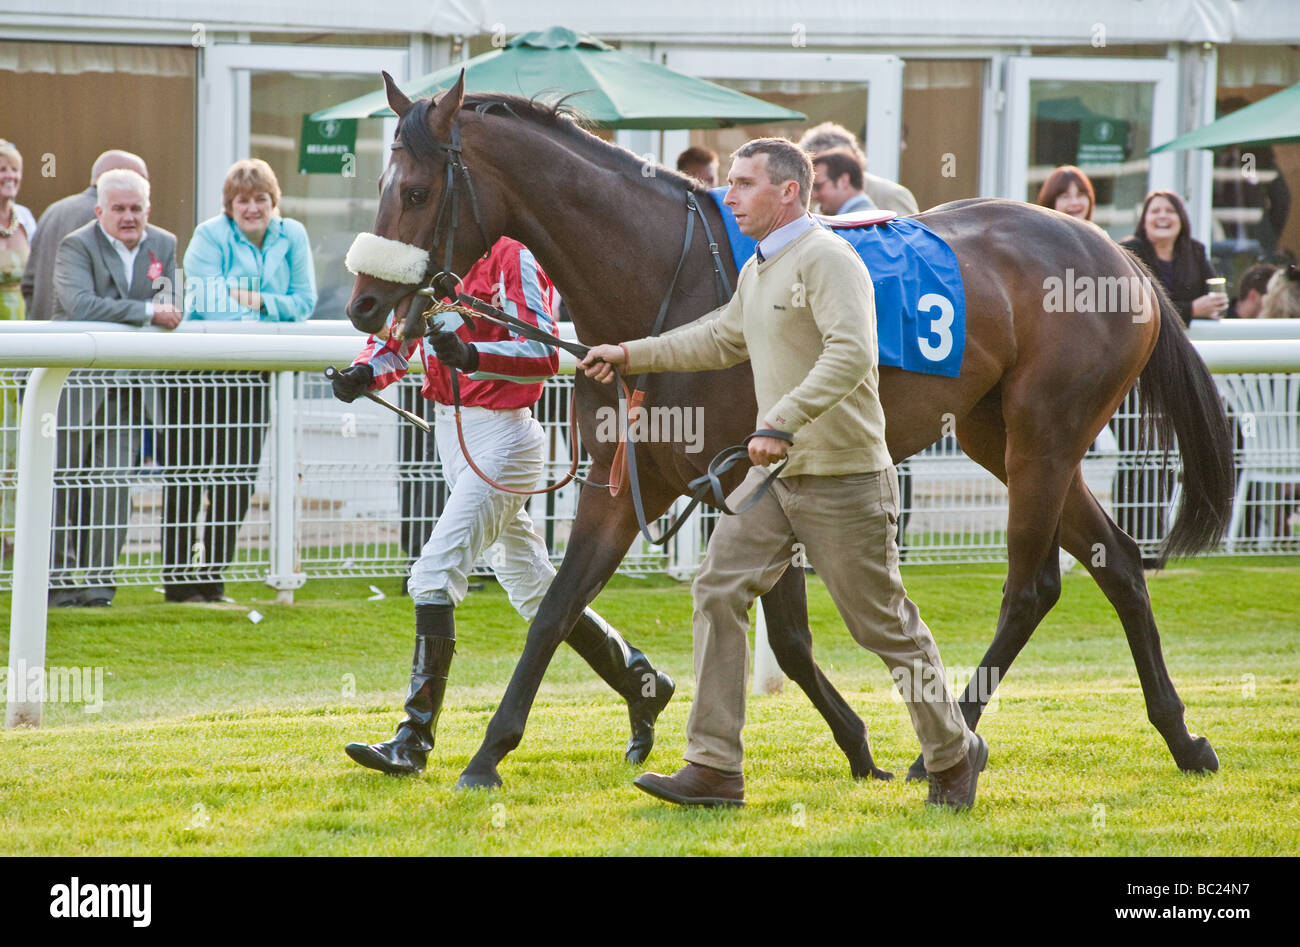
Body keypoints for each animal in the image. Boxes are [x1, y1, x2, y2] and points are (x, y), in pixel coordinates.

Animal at [346, 71, 1233, 791]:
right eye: (380, 183)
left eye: (416, 191)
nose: (361, 302)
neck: (661, 281)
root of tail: (1120, 256)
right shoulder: (622, 484)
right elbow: (559, 609)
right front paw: (485, 753)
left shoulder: (751, 474)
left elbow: (790, 634)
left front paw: (864, 747)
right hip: (1000, 434)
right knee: (1117, 562)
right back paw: (1182, 736)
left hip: (1044, 432)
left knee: (1033, 584)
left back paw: (951, 746)